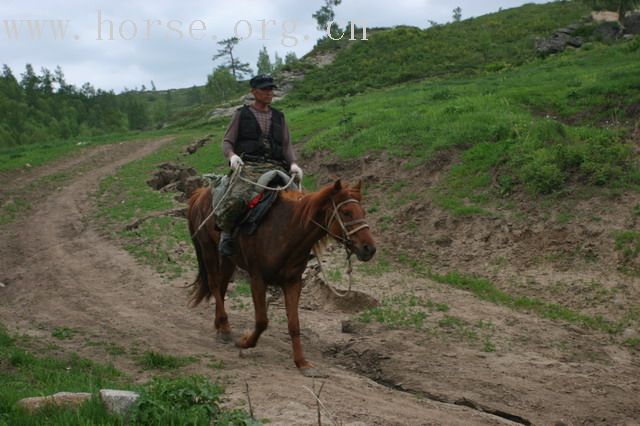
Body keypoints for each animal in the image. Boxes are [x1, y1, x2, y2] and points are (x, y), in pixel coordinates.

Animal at [185, 180, 376, 372]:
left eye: (363, 212)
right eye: (346, 212)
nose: (369, 249)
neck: (287, 230)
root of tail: (201, 193)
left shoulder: (293, 282)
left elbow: (294, 324)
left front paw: (302, 362)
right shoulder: (257, 279)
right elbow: (262, 320)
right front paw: (244, 342)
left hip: (228, 258)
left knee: (223, 285)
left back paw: (220, 325)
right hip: (207, 247)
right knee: (214, 284)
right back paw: (224, 328)